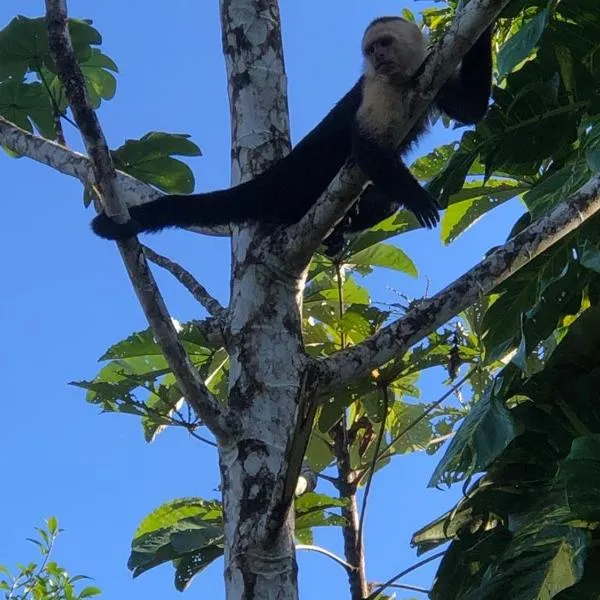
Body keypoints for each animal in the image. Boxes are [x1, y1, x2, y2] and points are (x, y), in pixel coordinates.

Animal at [90, 15, 492, 255]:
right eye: (370, 48)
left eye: (385, 43)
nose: (377, 56)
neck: (403, 78)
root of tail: (276, 176)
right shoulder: (378, 89)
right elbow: (365, 148)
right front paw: (419, 199)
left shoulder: (432, 74)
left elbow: (471, 110)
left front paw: (486, 30)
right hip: (299, 187)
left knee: (383, 203)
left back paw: (340, 231)